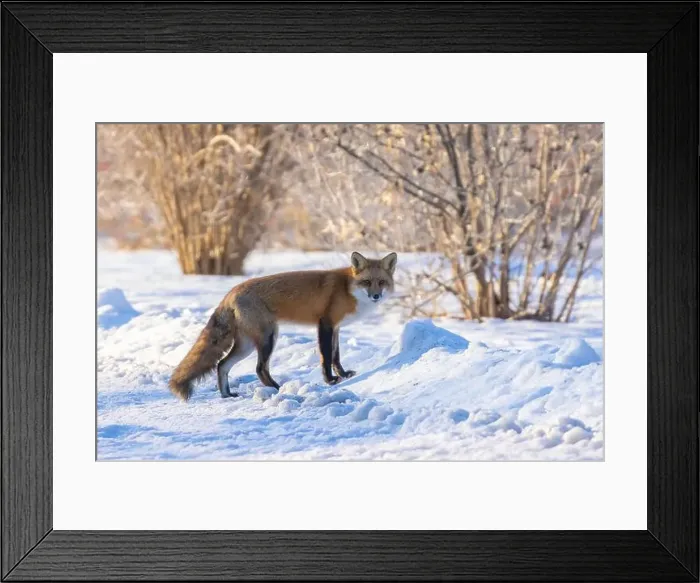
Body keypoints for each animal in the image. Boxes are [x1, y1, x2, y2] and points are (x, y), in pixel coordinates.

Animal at [169, 251, 397, 401]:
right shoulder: (325, 323)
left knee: (222, 364)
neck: (346, 288)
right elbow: (326, 356)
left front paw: (342, 375)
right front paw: (331, 380)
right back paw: (278, 389)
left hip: (247, 345)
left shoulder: (337, 328)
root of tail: (231, 291)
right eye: (366, 282)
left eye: (381, 282)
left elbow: (336, 356)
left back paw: (227, 394)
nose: (376, 296)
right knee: (259, 368)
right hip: (268, 337)